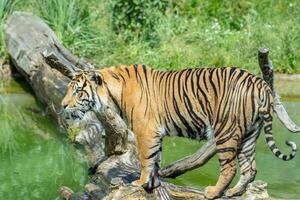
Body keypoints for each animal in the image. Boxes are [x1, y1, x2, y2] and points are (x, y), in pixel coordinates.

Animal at [61, 65, 298, 199]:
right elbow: (155, 159)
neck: (114, 93)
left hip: (227, 131)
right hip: (250, 133)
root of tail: (260, 82)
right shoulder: (155, 133)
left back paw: (214, 192)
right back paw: (235, 192)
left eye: (78, 91)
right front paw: (153, 184)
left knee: (230, 167)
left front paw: (139, 182)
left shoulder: (145, 130)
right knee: (251, 168)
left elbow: (146, 159)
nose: (63, 105)